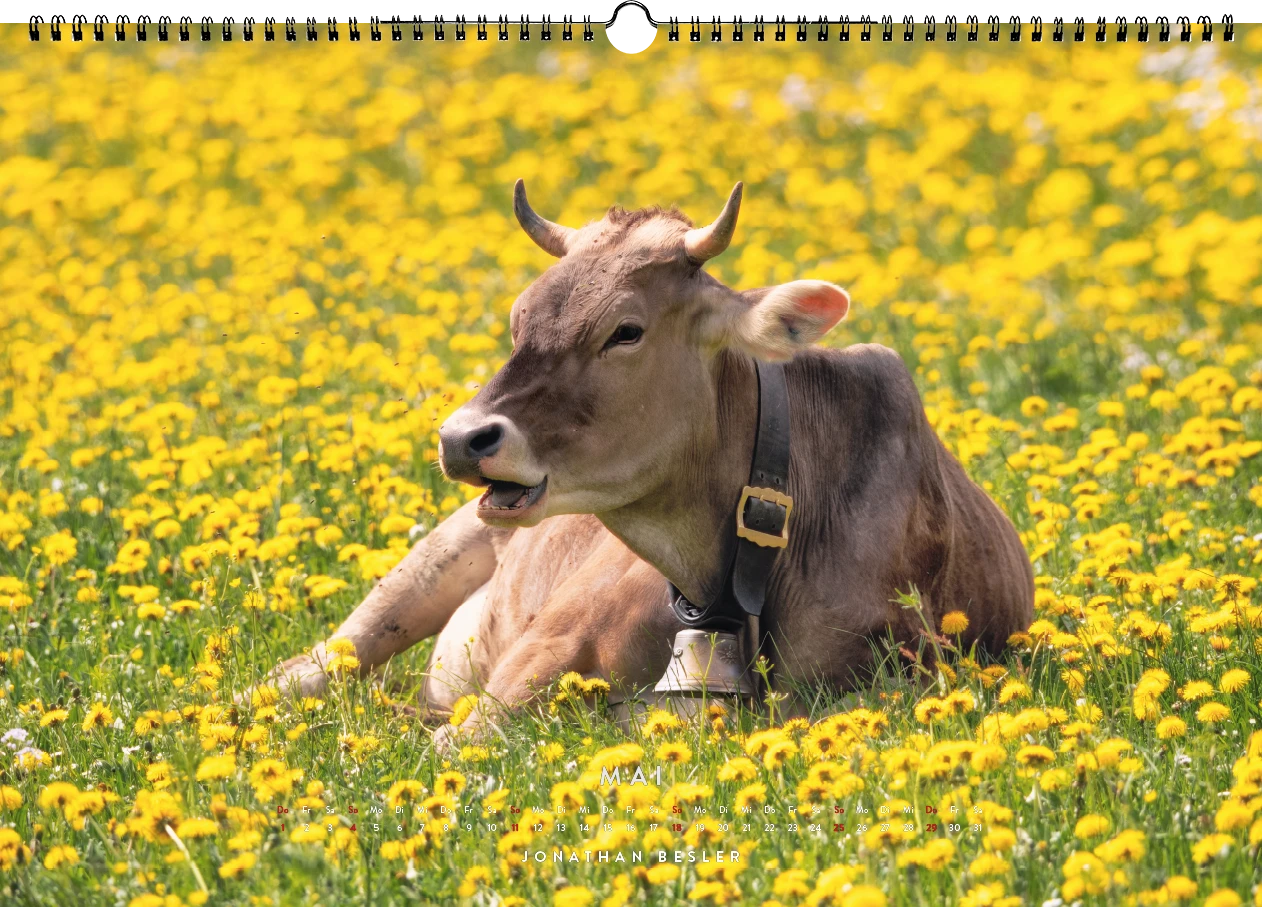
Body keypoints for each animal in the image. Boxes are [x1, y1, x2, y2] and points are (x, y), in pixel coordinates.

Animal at [268, 179, 1034, 746]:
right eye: (519, 320)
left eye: (626, 331)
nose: (462, 438)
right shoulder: (544, 645)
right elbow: (460, 739)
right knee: (308, 670)